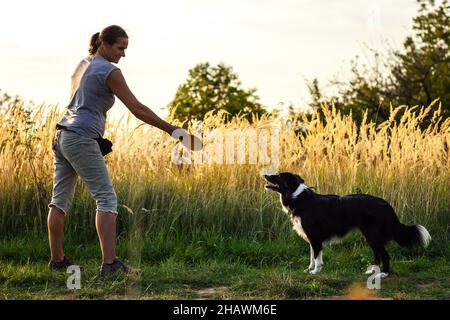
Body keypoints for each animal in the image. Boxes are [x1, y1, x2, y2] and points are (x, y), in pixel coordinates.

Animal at [266, 172, 430, 278]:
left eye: (279, 175)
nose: (265, 175)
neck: (298, 198)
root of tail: (386, 205)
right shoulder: (312, 239)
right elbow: (313, 256)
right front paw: (309, 270)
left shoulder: (315, 237)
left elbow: (316, 257)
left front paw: (315, 272)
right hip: (370, 236)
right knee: (377, 254)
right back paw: (372, 271)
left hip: (373, 235)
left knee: (384, 255)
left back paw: (383, 274)